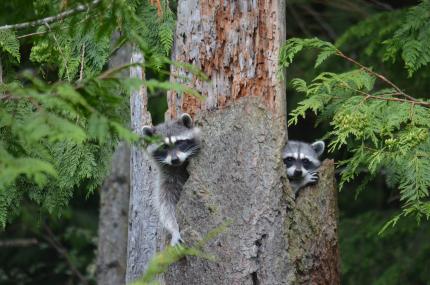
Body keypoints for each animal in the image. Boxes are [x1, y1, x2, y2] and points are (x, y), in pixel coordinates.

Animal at [142, 112, 201, 244]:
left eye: (179, 143)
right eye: (164, 147)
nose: (175, 160)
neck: (178, 166)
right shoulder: (166, 179)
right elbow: (166, 206)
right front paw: (174, 229)